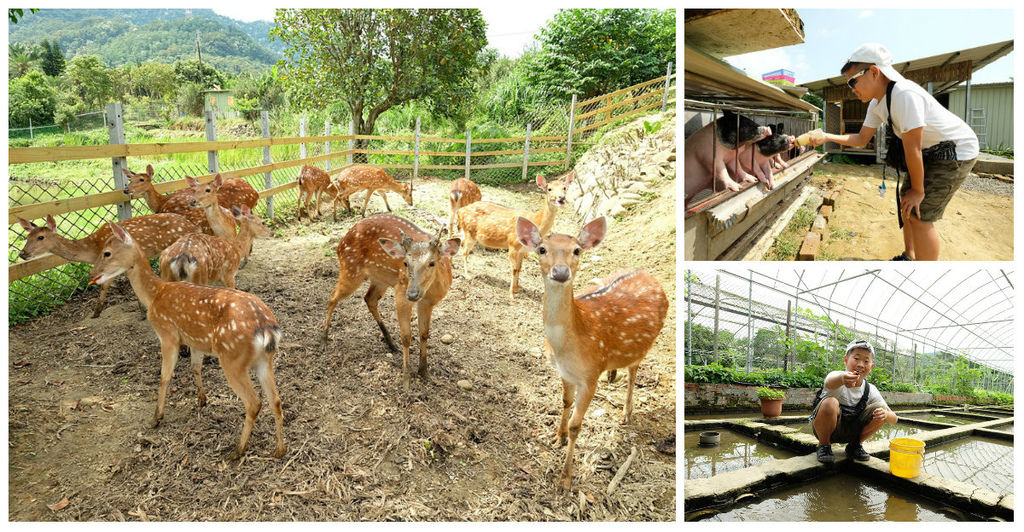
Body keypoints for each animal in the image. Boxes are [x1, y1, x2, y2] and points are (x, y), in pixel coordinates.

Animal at [18, 212, 199, 319]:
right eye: (27, 236)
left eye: (41, 237)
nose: (22, 253)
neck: (92, 249)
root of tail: (193, 226)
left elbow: (105, 284)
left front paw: (96, 312)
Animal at [89, 222, 284, 458]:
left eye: (107, 253)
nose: (92, 273)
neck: (155, 295)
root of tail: (267, 329)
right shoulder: (195, 341)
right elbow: (195, 367)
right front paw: (202, 399)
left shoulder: (167, 334)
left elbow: (164, 377)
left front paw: (156, 418)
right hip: (264, 359)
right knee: (276, 400)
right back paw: (280, 450)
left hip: (232, 358)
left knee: (254, 402)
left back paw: (238, 450)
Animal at [319, 213, 460, 388]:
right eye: (405, 263)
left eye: (432, 262)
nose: (412, 293)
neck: (429, 291)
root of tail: (340, 244)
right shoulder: (400, 292)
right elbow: (406, 336)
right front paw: (406, 378)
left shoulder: (428, 302)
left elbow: (424, 333)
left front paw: (425, 372)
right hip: (351, 270)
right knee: (332, 297)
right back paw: (324, 340)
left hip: (381, 279)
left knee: (369, 298)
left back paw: (391, 343)